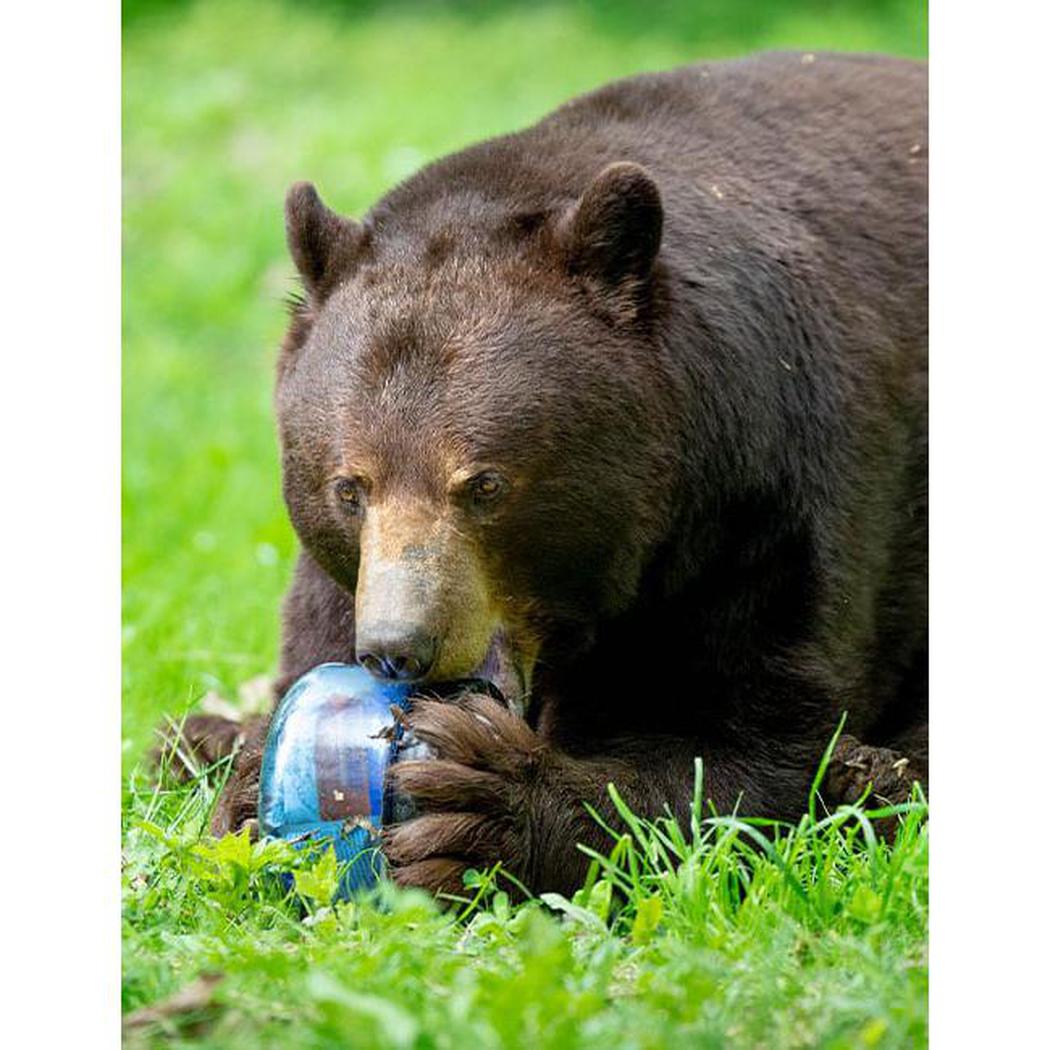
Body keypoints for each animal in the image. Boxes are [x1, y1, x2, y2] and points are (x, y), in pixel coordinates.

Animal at [171, 51, 928, 898]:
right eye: (349, 488)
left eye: (485, 484)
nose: (399, 647)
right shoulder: (341, 574)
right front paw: (243, 776)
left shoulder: (767, 502)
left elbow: (744, 743)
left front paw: (479, 806)